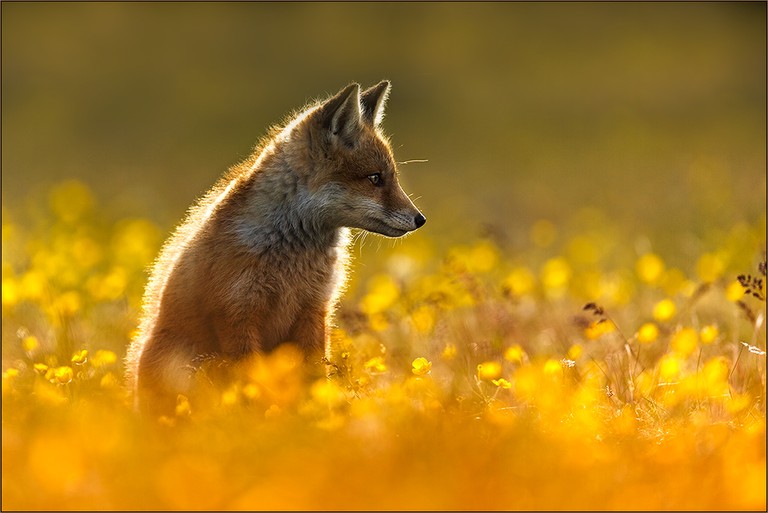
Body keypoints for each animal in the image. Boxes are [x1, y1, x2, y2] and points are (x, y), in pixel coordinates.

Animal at [126, 81, 426, 416]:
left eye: (392, 177)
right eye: (375, 178)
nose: (420, 219)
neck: (292, 255)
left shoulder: (314, 310)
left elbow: (314, 380)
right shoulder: (236, 313)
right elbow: (250, 382)